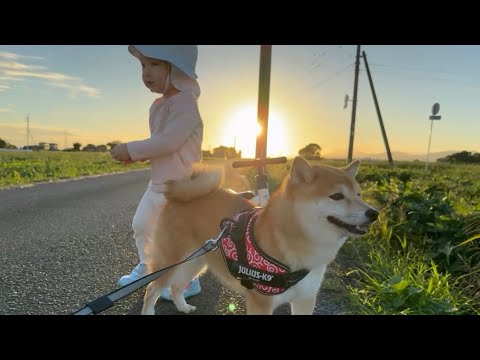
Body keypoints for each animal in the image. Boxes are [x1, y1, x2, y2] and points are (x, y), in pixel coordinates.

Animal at [142, 156, 378, 314]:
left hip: (195, 262)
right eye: (337, 196)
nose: (374, 213)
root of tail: (181, 196)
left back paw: (183, 307)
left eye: (359, 194)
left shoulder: (305, 298)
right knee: (152, 289)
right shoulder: (260, 302)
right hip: (171, 260)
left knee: (176, 286)